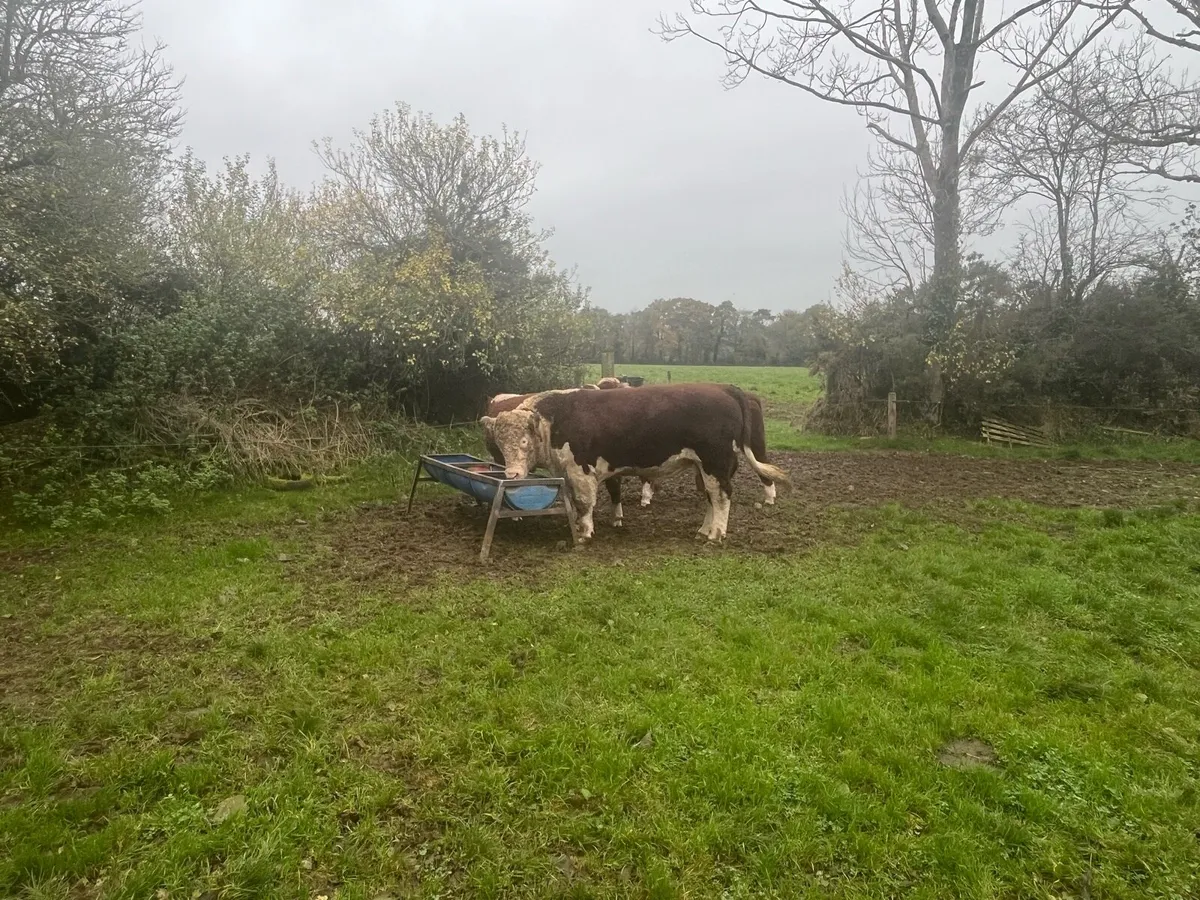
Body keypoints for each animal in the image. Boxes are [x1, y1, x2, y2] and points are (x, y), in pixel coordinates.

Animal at [479, 382, 791, 543]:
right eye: (500, 445)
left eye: (524, 442)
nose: (512, 474)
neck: (557, 420)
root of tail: (723, 389)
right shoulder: (567, 473)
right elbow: (575, 503)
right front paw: (580, 526)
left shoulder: (582, 471)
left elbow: (585, 503)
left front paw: (585, 532)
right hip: (706, 466)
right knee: (711, 498)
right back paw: (704, 529)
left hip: (715, 461)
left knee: (722, 496)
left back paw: (716, 534)